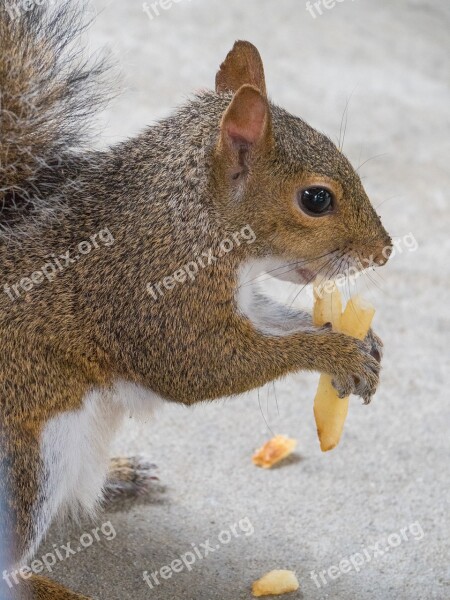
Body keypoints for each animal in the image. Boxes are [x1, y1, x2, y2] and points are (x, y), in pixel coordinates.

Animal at [0, 1, 390, 600]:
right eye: (316, 199)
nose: (386, 251)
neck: (195, 218)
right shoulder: (158, 297)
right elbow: (202, 367)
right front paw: (333, 353)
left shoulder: (240, 296)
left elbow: (276, 319)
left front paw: (362, 341)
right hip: (26, 459)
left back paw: (119, 475)